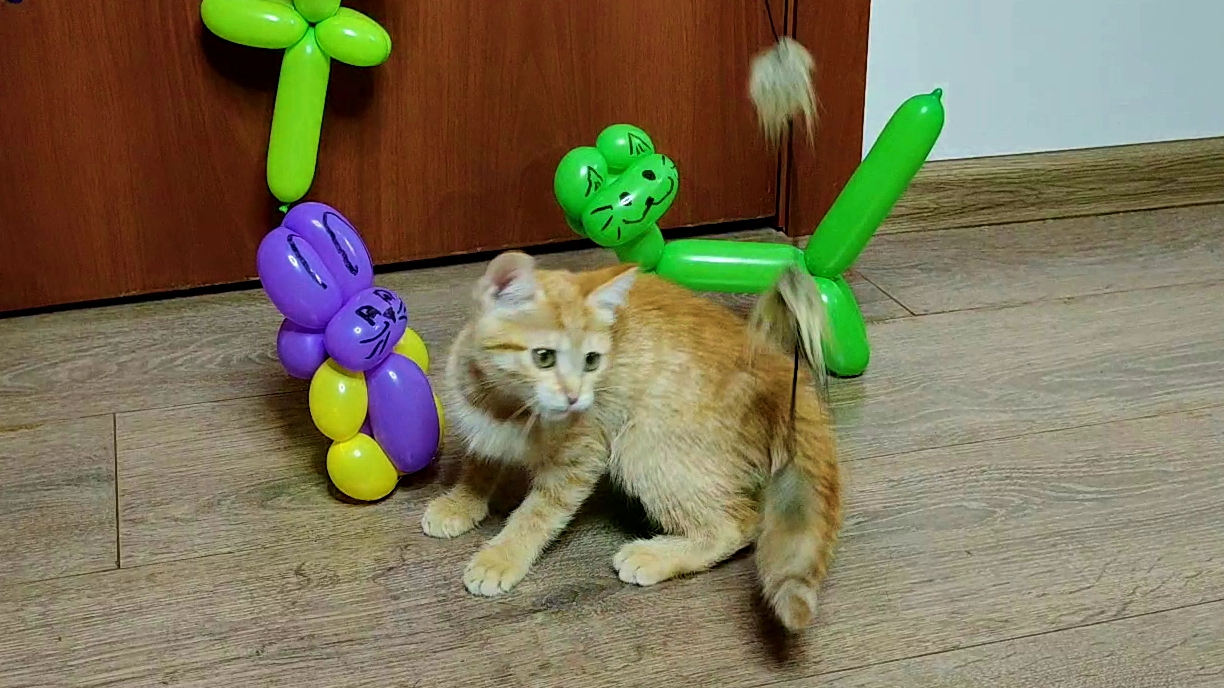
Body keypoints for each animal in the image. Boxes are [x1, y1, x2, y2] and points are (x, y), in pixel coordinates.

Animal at [421, 250, 841, 631]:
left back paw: (657, 556)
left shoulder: (581, 456)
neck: (507, 408)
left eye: (592, 361)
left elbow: (537, 513)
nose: (575, 397)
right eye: (543, 357)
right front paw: (461, 501)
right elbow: (480, 460)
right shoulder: (480, 423)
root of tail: (777, 367)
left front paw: (503, 556)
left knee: (739, 523)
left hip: (643, 445)